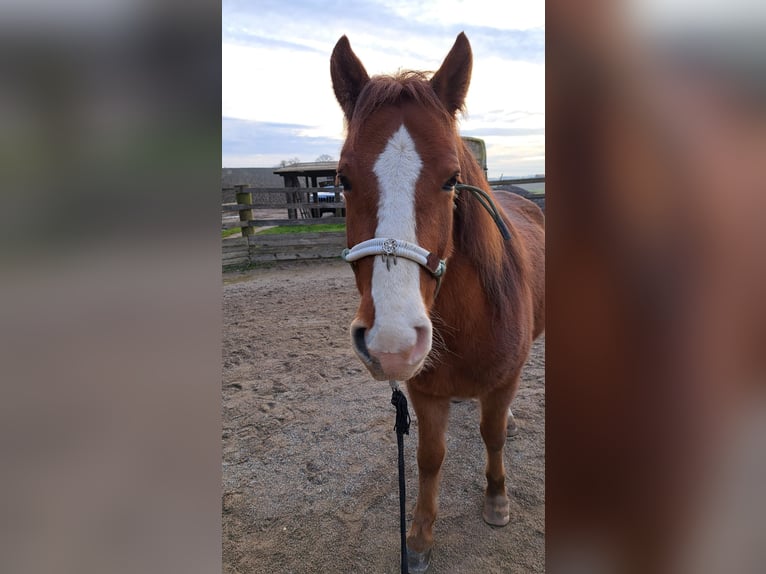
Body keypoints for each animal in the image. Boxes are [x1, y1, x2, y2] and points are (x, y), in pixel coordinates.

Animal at [330, 33, 544, 572]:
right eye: (342, 179)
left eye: (451, 178)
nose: (392, 342)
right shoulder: (424, 393)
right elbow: (429, 458)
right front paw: (421, 536)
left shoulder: (503, 380)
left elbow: (493, 436)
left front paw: (496, 500)